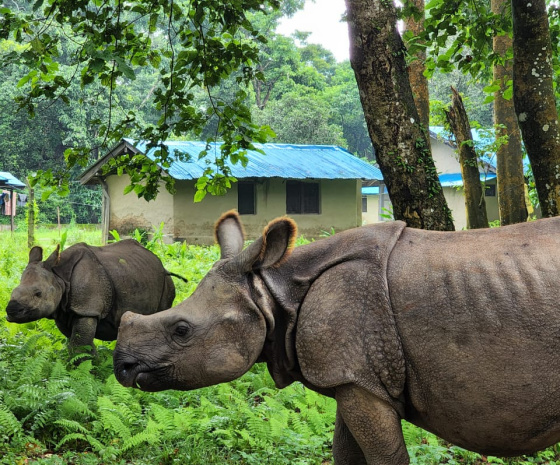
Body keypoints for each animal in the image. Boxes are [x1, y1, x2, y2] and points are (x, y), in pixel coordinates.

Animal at [6, 239, 177, 352]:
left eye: (38, 294)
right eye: (12, 291)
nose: (11, 311)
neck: (59, 276)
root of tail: (159, 262)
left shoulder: (87, 309)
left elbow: (79, 346)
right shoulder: (64, 311)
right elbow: (78, 344)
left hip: (166, 281)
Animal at [112, 211, 560, 464]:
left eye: (181, 330)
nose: (122, 367)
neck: (273, 290)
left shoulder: (358, 372)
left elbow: (385, 457)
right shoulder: (352, 375)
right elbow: (345, 452)